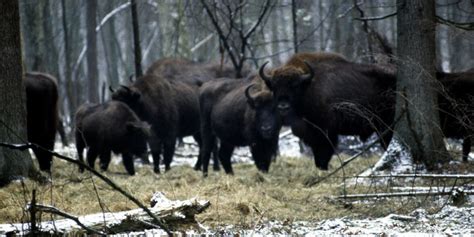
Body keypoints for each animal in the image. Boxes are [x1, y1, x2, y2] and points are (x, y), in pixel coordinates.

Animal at [260, 52, 396, 169]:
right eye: (274, 87)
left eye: (295, 86)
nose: (283, 107)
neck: (308, 86)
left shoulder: (325, 133)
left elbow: (323, 156)